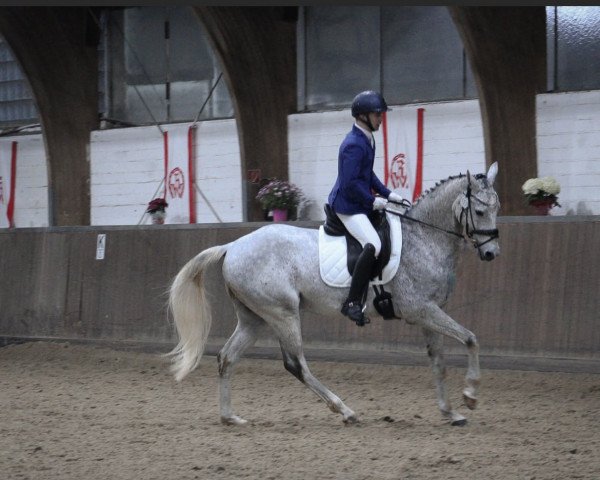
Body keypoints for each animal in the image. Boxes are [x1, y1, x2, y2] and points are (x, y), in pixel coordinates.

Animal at [166, 162, 500, 428]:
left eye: (496, 209)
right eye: (480, 211)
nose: (491, 253)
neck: (423, 239)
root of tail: (232, 246)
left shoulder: (428, 313)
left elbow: (440, 361)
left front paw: (451, 412)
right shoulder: (420, 310)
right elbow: (471, 338)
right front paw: (470, 395)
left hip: (254, 319)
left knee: (227, 357)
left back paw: (230, 417)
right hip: (282, 313)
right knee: (295, 364)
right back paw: (345, 410)